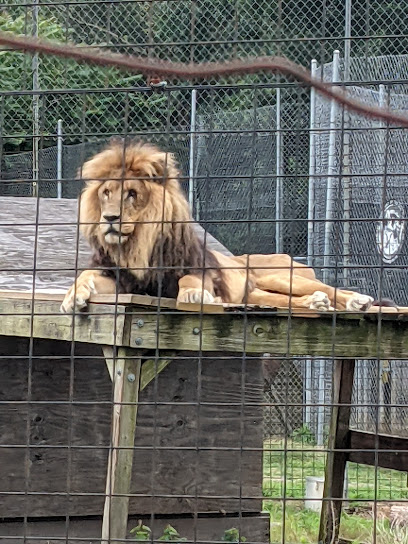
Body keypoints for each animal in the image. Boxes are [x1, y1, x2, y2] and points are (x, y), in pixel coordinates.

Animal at [59, 140, 376, 314]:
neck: (136, 246)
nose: (109, 218)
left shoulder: (202, 269)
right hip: (255, 294)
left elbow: (190, 279)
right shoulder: (118, 278)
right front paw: (72, 297)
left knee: (330, 288)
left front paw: (192, 294)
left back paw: (356, 301)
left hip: (283, 277)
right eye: (106, 193)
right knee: (290, 300)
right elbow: (85, 276)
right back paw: (316, 303)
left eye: (132, 194)